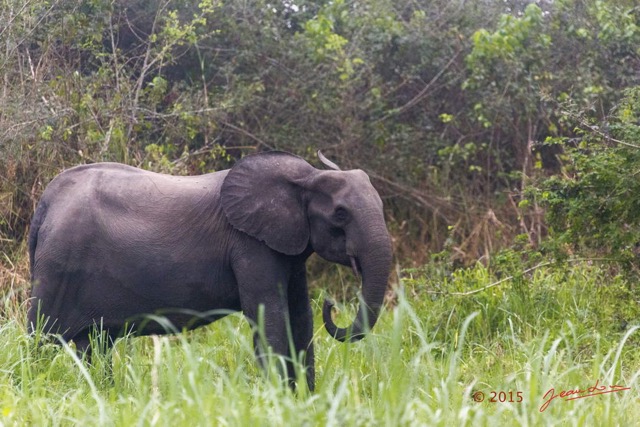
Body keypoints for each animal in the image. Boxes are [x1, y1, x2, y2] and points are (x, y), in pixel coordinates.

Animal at [28, 151, 396, 392]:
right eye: (340, 214)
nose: (331, 304)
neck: (306, 176)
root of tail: (46, 202)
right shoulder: (250, 244)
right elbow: (270, 317)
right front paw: (279, 400)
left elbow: (300, 316)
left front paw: (305, 400)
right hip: (58, 265)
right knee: (41, 337)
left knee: (95, 343)